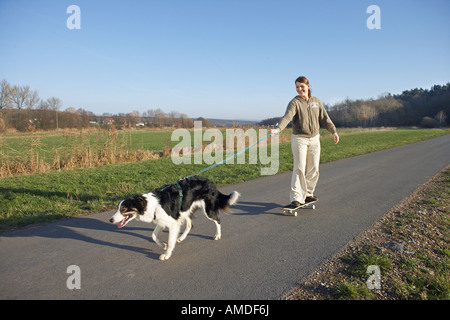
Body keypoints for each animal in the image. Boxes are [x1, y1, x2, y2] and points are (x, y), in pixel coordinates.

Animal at [109, 176, 241, 262]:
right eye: (118, 208)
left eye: (123, 209)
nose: (110, 220)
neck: (150, 204)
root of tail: (210, 182)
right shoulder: (162, 221)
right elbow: (153, 235)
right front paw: (162, 245)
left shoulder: (172, 223)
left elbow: (170, 241)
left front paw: (166, 254)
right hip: (185, 209)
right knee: (190, 225)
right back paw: (181, 237)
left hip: (207, 210)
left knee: (217, 220)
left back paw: (217, 235)